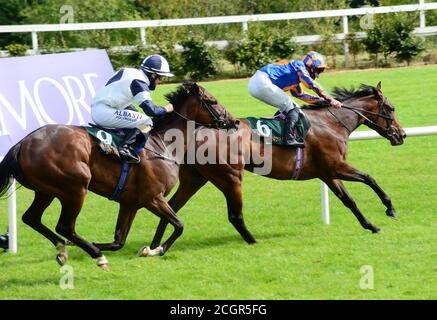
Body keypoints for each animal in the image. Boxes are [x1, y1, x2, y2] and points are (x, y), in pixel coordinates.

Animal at [0, 81, 235, 268]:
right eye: (213, 101)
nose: (232, 121)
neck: (163, 145)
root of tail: (21, 144)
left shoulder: (130, 203)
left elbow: (118, 241)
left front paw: (143, 249)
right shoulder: (153, 198)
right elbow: (179, 225)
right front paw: (156, 250)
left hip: (46, 191)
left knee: (31, 218)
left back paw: (62, 248)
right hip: (75, 188)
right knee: (65, 226)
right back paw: (95, 255)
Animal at [149, 82, 406, 248]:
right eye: (392, 108)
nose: (401, 135)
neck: (332, 122)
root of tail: (196, 131)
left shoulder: (327, 173)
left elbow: (349, 200)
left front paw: (371, 226)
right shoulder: (336, 166)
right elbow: (370, 178)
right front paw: (390, 209)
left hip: (196, 178)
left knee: (171, 207)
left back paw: (155, 246)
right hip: (230, 177)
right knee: (234, 215)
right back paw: (253, 241)